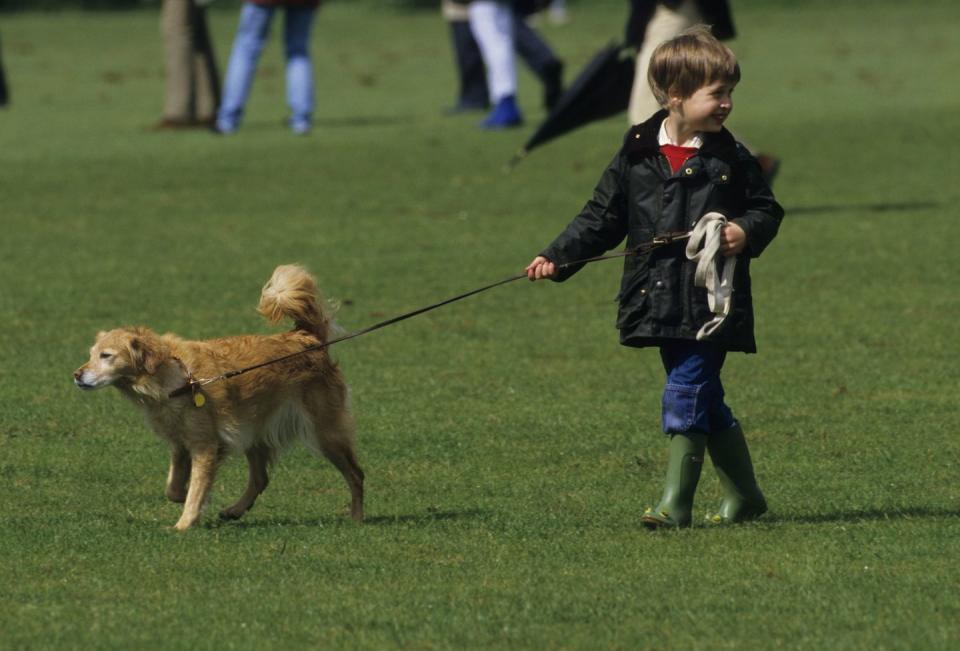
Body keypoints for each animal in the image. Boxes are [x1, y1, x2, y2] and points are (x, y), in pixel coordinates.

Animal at [74, 264, 364, 528]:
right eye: (91, 354)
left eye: (106, 356)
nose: (76, 375)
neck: (176, 377)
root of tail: (307, 338)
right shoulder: (181, 444)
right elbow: (173, 486)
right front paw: (186, 498)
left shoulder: (204, 445)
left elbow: (197, 488)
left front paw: (184, 524)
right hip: (253, 431)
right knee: (260, 478)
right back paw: (235, 510)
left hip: (325, 433)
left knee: (356, 474)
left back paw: (357, 517)